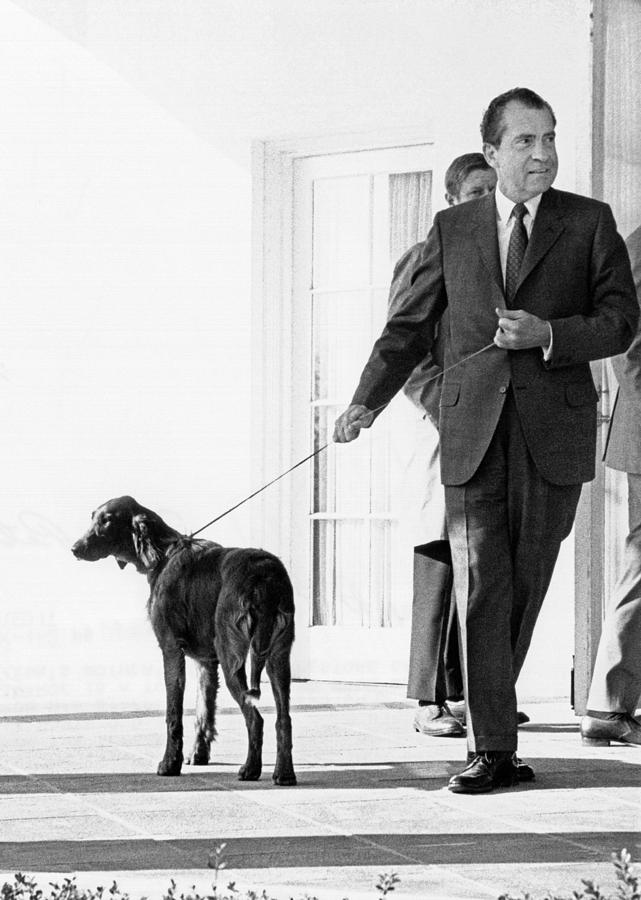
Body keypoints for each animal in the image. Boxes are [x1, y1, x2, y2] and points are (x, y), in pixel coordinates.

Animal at [71, 496, 296, 784]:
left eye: (107, 521)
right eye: (93, 517)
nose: (75, 548)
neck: (162, 555)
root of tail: (264, 575)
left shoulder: (171, 649)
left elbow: (173, 713)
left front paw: (170, 763)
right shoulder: (206, 661)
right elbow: (203, 709)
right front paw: (198, 754)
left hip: (232, 657)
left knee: (255, 718)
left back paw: (250, 769)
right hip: (278, 658)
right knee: (283, 719)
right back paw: (284, 773)